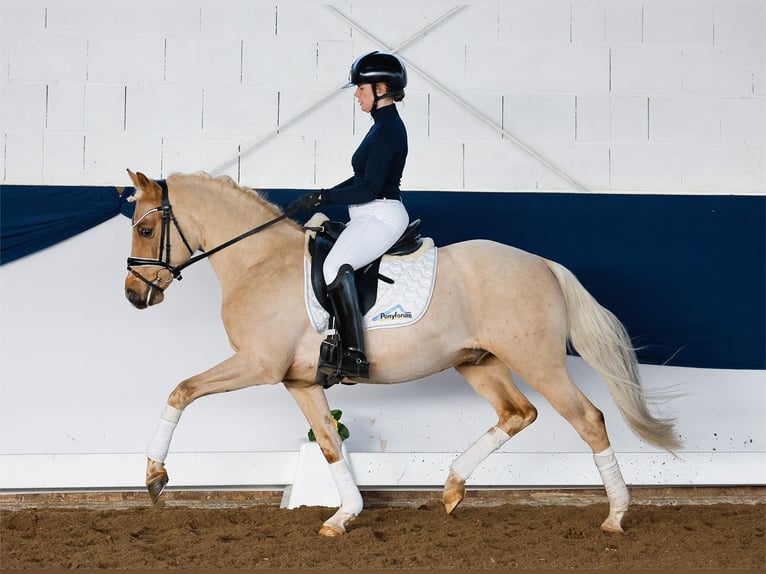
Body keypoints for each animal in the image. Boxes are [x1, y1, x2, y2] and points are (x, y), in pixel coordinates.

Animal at [126, 169, 684, 536]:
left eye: (147, 229)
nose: (134, 297)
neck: (259, 262)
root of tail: (543, 264)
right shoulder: (299, 381)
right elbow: (328, 442)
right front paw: (344, 516)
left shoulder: (257, 366)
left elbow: (181, 390)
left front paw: (154, 477)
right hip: (477, 362)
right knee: (518, 413)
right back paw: (453, 488)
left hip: (538, 363)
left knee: (587, 419)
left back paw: (615, 516)